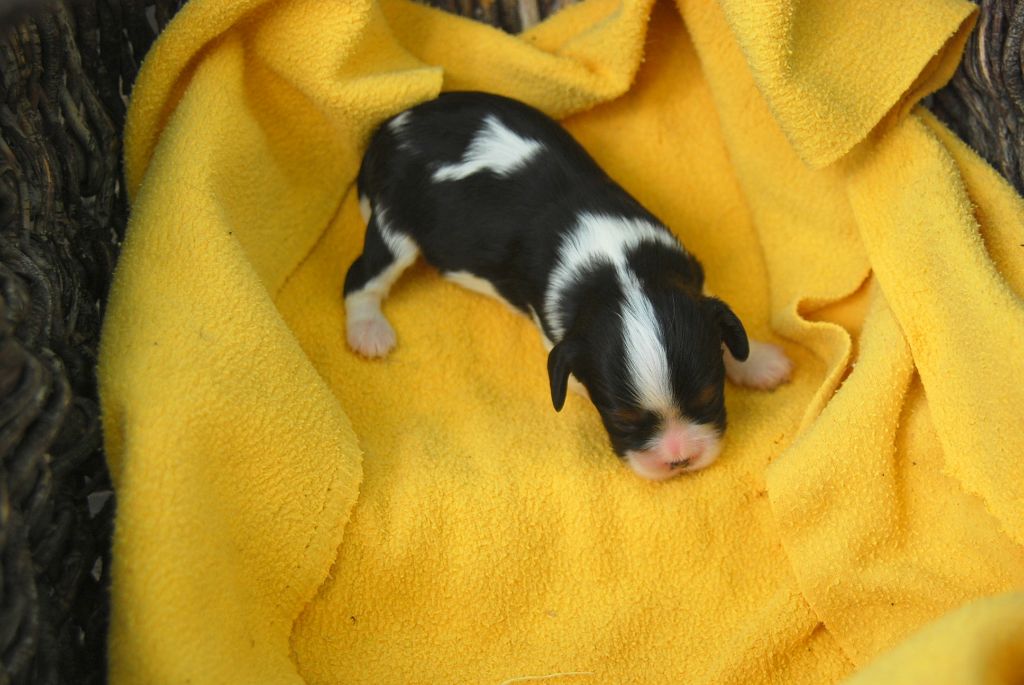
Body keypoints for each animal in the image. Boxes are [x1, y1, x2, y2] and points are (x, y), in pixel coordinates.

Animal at [344, 91, 792, 480]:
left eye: (710, 396)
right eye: (621, 420)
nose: (679, 460)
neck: (618, 267)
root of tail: (389, 130)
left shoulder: (688, 272)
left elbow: (726, 327)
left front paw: (758, 361)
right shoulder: (554, 332)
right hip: (394, 225)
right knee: (360, 277)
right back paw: (368, 331)